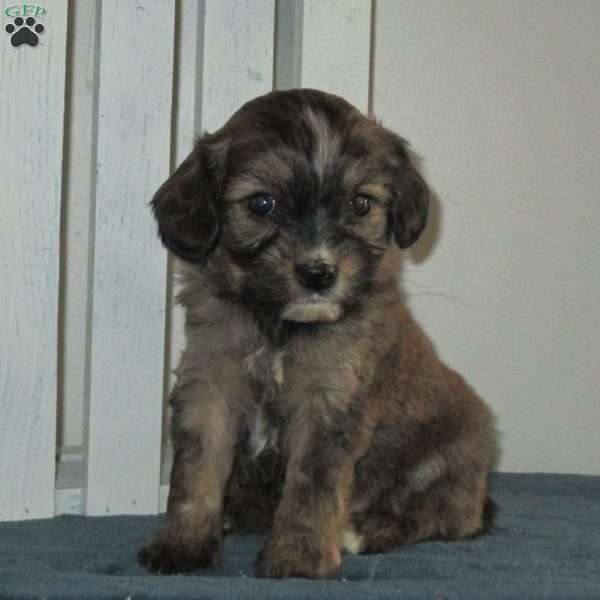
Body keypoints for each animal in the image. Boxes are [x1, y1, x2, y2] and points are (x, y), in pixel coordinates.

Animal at [139, 86, 496, 580]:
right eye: (262, 204)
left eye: (361, 204)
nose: (319, 273)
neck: (278, 326)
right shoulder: (210, 387)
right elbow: (196, 471)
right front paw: (184, 543)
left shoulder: (329, 401)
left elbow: (312, 485)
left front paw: (299, 556)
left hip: (451, 455)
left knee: (443, 515)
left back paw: (363, 531)